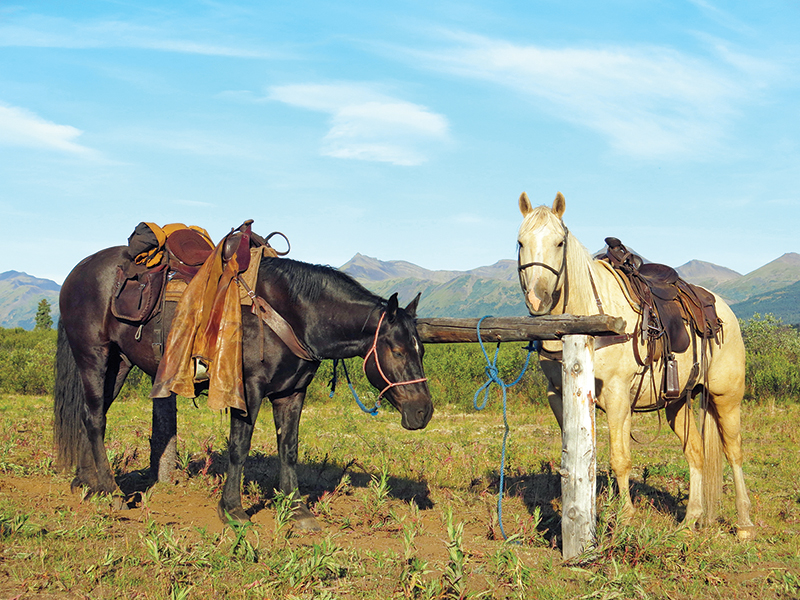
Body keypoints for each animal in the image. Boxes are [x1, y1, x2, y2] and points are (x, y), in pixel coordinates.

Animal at [54, 246, 433, 530]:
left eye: (421, 349)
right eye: (396, 350)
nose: (423, 411)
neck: (291, 312)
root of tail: (77, 272)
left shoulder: (292, 392)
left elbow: (288, 448)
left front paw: (297, 510)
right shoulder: (248, 389)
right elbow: (239, 446)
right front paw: (233, 510)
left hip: (119, 363)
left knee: (90, 414)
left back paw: (86, 483)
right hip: (94, 356)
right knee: (95, 419)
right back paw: (111, 491)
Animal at [516, 191, 754, 540]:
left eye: (560, 242)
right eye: (520, 242)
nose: (538, 299)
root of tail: (724, 311)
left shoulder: (617, 395)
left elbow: (620, 458)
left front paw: (625, 517)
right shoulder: (558, 396)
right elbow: (573, 457)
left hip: (726, 398)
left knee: (734, 452)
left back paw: (745, 523)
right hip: (678, 402)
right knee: (695, 453)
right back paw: (690, 520)